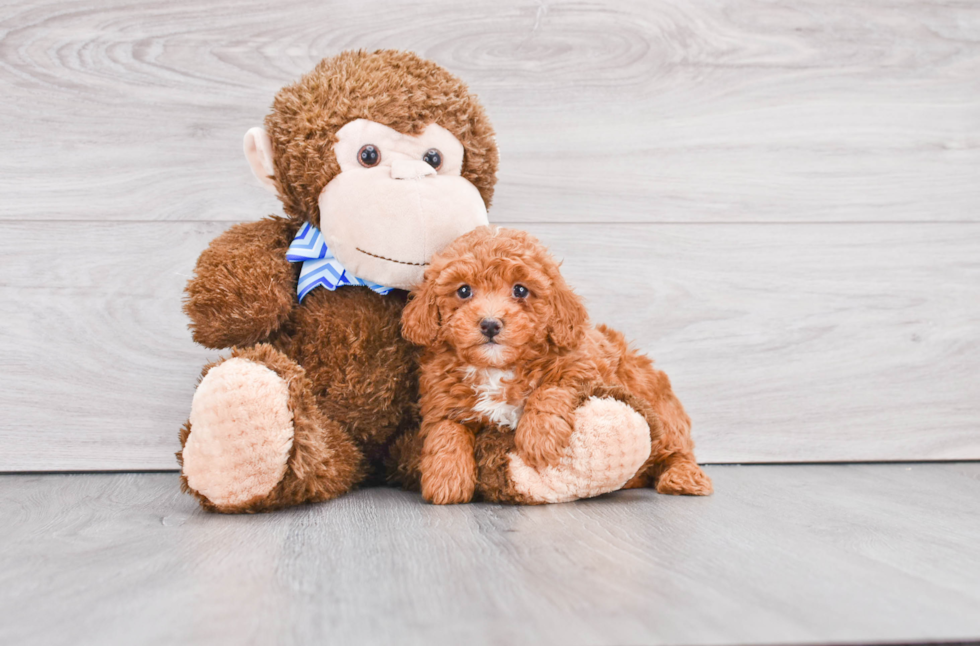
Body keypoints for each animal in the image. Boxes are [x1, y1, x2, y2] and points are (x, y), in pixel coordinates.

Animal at [400, 227, 712, 506]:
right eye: (463, 291)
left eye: (520, 290)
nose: (490, 324)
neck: (496, 368)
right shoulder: (442, 399)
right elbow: (446, 431)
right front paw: (446, 481)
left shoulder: (582, 366)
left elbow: (550, 387)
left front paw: (539, 437)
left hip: (662, 412)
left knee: (675, 451)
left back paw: (684, 477)